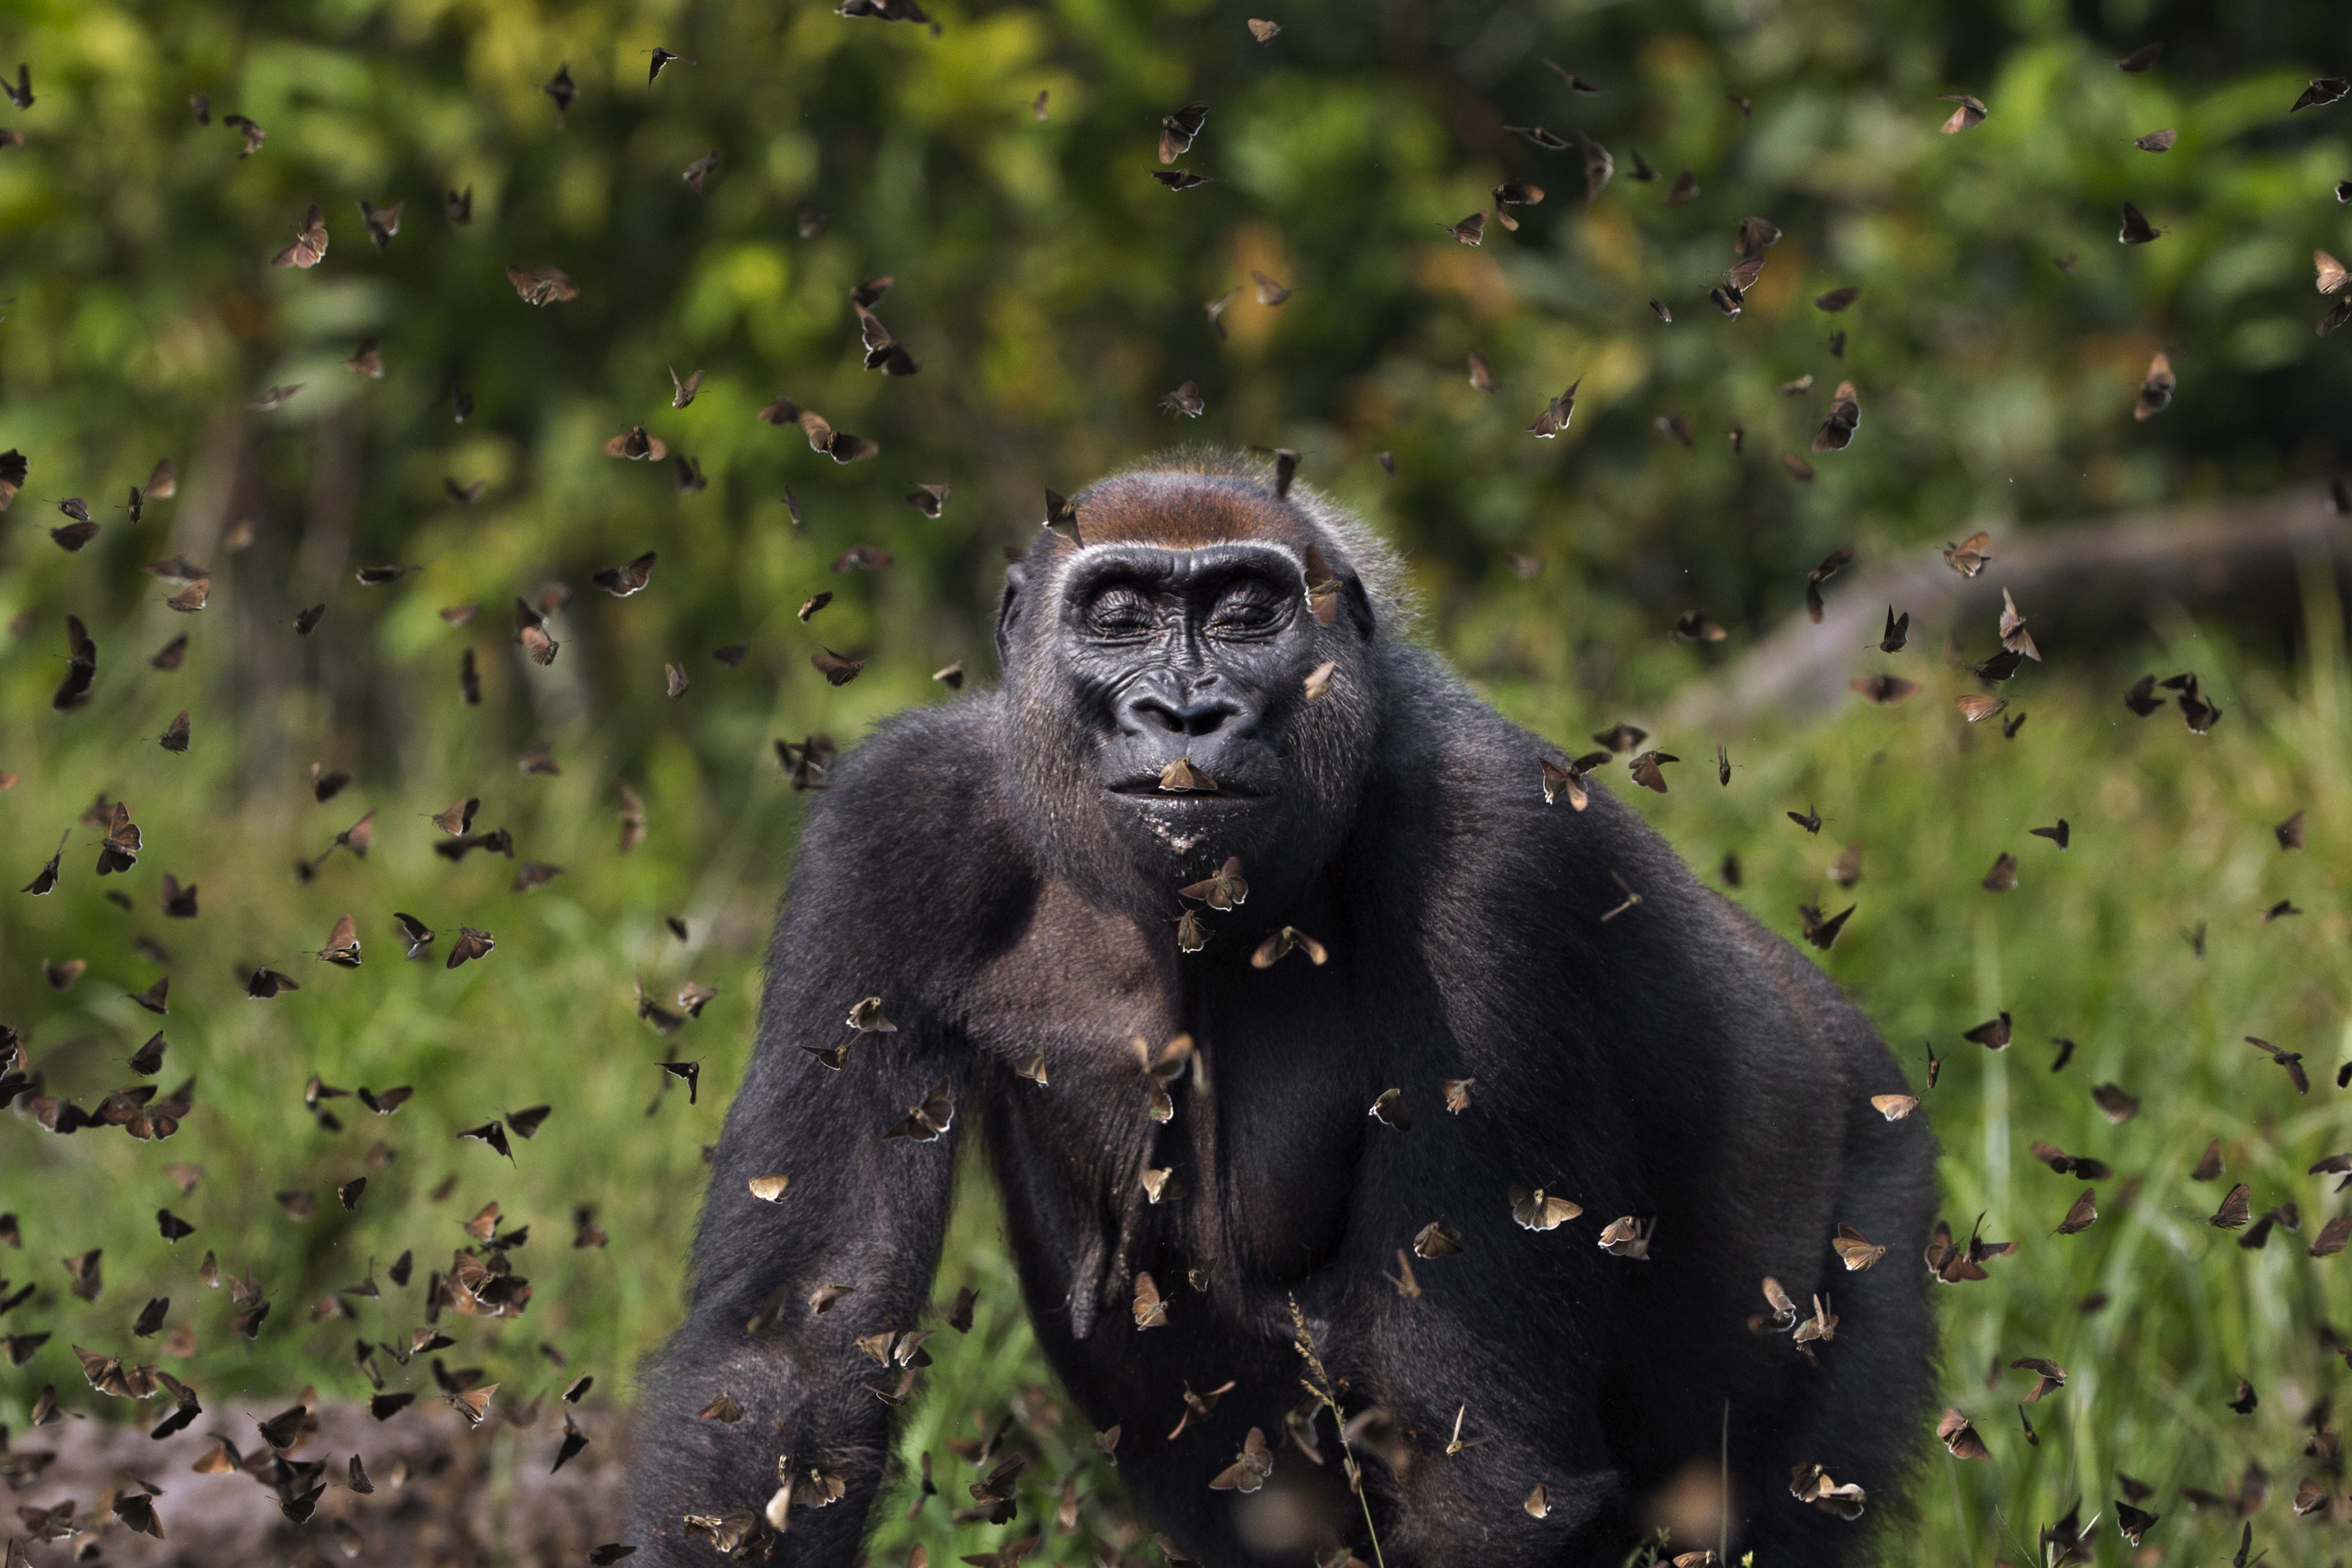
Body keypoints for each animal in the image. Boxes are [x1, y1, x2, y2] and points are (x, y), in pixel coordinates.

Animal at [635, 453, 1938, 1568]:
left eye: (1247, 612)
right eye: (1118, 614)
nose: (1184, 712)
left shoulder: (1499, 852)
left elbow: (1481, 1464)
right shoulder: (889, 827)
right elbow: (790, 1362)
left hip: (1876, 1196)